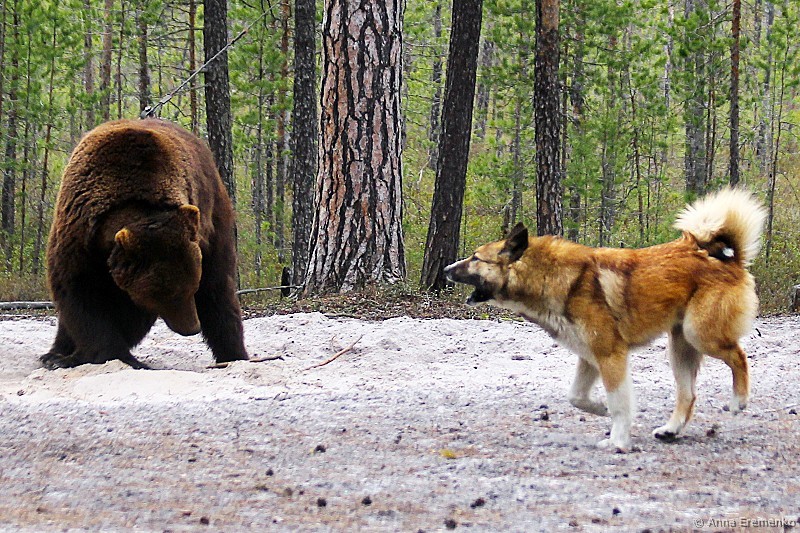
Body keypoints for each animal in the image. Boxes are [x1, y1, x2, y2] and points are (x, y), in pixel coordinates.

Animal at [42, 118, 248, 369]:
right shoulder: (78, 235)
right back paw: (55, 354)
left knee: (219, 289)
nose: (192, 327)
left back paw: (233, 354)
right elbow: (79, 294)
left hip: (213, 220)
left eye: (192, 286)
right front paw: (88, 354)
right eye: (169, 293)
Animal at [444, 188, 766, 451]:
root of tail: (726, 257)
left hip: (701, 334)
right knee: (688, 396)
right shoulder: (589, 358)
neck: (554, 278)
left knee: (739, 357)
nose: (447, 268)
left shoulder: (611, 355)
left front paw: (619, 441)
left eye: (475, 258)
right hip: (680, 347)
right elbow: (577, 397)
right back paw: (670, 430)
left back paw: (738, 401)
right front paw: (599, 408)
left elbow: (619, 404)